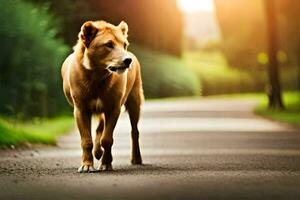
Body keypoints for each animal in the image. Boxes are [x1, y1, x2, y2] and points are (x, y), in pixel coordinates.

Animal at [60, 21, 143, 173]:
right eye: (108, 44)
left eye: (124, 44)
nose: (128, 60)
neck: (97, 76)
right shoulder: (81, 110)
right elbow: (87, 140)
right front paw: (87, 165)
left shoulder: (114, 108)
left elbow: (107, 139)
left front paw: (106, 164)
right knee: (99, 129)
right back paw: (97, 152)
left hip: (135, 102)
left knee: (135, 131)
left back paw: (136, 158)